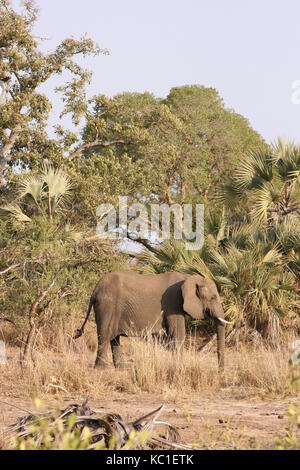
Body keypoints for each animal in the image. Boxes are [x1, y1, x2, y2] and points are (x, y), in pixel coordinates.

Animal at [74, 272, 230, 370]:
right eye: (213, 297)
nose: (220, 371)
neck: (188, 278)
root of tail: (95, 290)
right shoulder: (173, 303)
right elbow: (178, 334)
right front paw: (181, 366)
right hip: (107, 305)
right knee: (105, 335)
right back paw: (103, 369)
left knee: (114, 338)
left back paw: (121, 368)